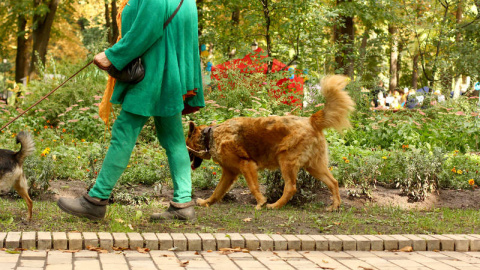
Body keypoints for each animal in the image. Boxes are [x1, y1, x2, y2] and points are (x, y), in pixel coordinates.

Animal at [186, 74, 354, 211]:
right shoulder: (229, 173)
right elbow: (216, 192)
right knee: (333, 182)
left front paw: (261, 202)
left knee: (291, 188)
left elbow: (253, 187)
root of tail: (311, 120)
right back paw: (335, 206)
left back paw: (275, 205)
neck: (210, 136)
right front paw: (206, 202)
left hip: (286, 161)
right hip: (313, 166)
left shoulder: (246, 165)